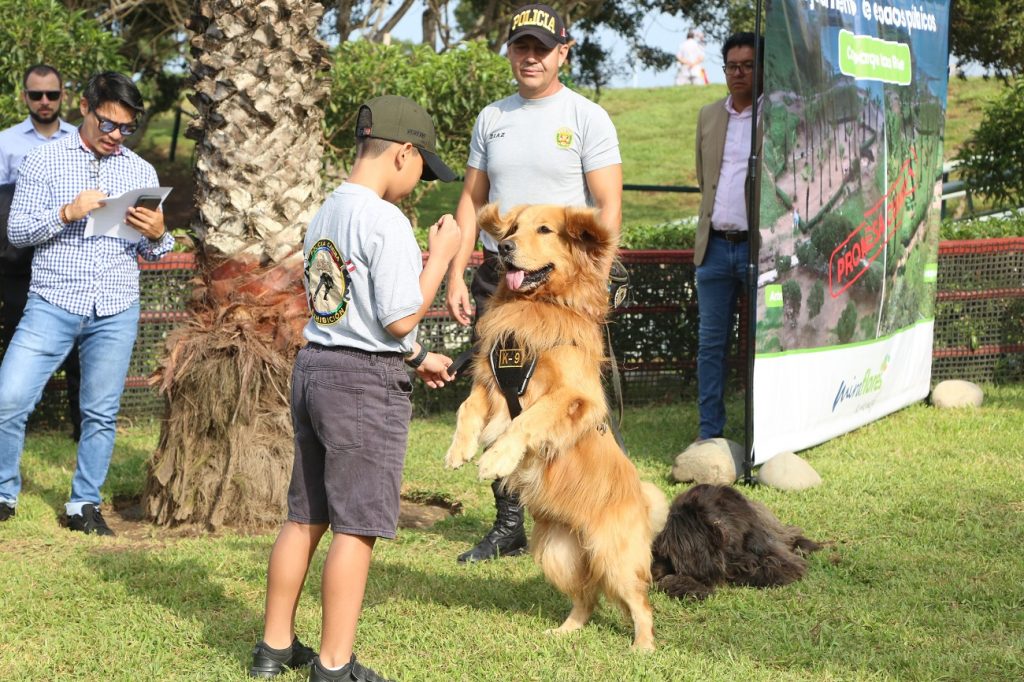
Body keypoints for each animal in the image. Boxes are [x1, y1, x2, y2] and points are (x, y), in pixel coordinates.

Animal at [442, 202, 667, 647]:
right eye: (512, 228)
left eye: (544, 230)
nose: (505, 247)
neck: (538, 306)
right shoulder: (490, 381)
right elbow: (467, 408)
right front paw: (459, 449)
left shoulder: (575, 396)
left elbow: (528, 419)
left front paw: (496, 459)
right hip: (555, 553)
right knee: (586, 597)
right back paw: (564, 631)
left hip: (614, 555)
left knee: (640, 603)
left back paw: (643, 647)